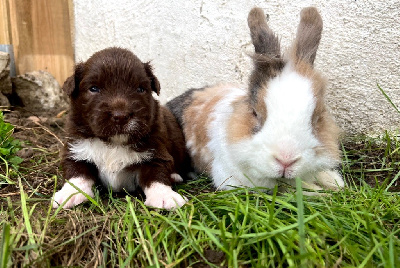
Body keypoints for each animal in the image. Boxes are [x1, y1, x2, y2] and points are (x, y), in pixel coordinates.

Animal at [53, 47, 189, 209]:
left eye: (140, 89)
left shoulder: (156, 151)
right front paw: (71, 193)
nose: (121, 116)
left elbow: (157, 175)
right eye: (94, 88)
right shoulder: (76, 147)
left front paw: (164, 196)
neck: (113, 142)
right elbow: (77, 172)